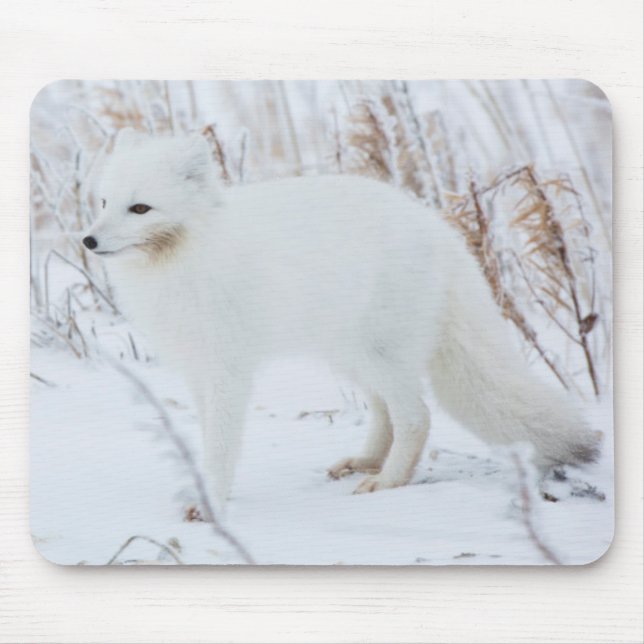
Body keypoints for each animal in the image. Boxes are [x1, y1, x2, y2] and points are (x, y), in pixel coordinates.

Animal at [83, 128, 601, 510]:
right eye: (104, 202)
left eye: (140, 208)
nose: (88, 240)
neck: (187, 258)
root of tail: (439, 231)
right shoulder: (198, 370)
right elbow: (209, 436)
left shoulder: (230, 371)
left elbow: (223, 444)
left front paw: (212, 501)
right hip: (349, 355)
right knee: (385, 411)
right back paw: (367, 462)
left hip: (379, 353)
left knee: (415, 415)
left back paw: (387, 482)